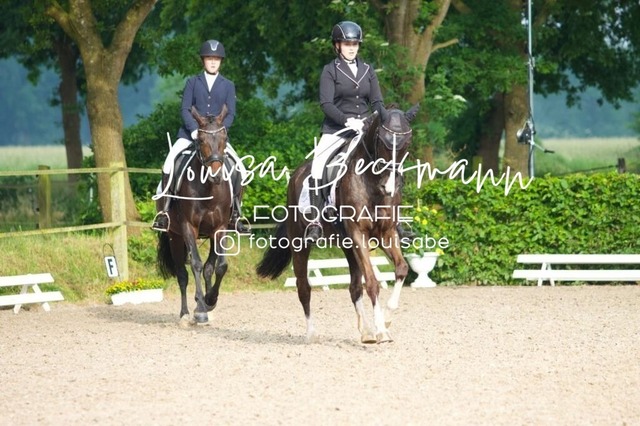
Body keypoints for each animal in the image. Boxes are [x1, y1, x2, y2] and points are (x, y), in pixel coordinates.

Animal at [156, 106, 234, 324]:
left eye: (225, 138)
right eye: (200, 140)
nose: (216, 176)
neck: (208, 188)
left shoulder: (220, 228)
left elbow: (220, 266)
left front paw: (210, 300)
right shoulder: (188, 227)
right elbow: (196, 265)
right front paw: (200, 310)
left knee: (209, 268)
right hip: (174, 236)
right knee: (182, 274)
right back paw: (185, 314)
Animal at [256, 105, 419, 343]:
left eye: (407, 142)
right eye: (382, 141)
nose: (390, 186)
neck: (372, 182)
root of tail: (295, 175)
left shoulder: (386, 233)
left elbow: (401, 269)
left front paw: (387, 321)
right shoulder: (359, 233)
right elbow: (372, 282)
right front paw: (381, 330)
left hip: (348, 246)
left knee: (354, 287)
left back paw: (366, 332)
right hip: (300, 243)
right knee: (304, 287)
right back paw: (312, 334)